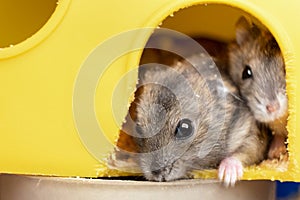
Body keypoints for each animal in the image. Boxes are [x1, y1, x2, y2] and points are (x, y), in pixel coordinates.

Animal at [132, 53, 268, 186]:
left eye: (185, 128)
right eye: (138, 129)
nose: (156, 174)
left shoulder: (249, 131)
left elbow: (246, 152)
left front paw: (227, 177)